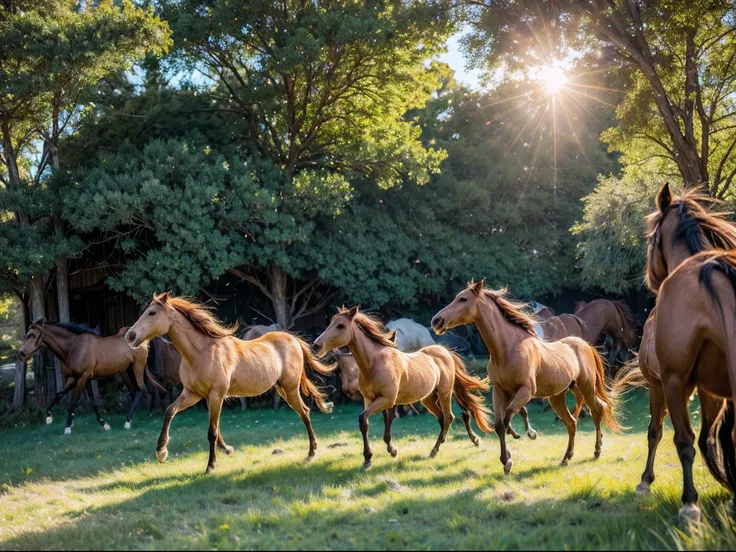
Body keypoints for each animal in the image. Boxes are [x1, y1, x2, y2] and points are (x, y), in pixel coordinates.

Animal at [16, 322, 162, 434]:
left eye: (32, 335)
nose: (20, 354)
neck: (73, 347)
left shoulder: (82, 378)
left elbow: (73, 402)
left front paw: (67, 427)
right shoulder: (76, 378)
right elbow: (68, 396)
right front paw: (104, 424)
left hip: (137, 368)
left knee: (140, 390)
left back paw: (128, 421)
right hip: (125, 371)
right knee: (137, 390)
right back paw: (142, 415)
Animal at [125, 294, 334, 474]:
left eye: (152, 313)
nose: (130, 336)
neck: (201, 353)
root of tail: (293, 340)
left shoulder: (216, 395)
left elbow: (212, 431)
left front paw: (211, 465)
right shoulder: (193, 394)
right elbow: (171, 411)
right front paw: (161, 452)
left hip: (290, 389)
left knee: (305, 412)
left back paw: (311, 453)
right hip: (282, 389)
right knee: (304, 411)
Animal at [312, 304, 492, 468]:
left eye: (340, 326)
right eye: (331, 323)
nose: (316, 345)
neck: (374, 363)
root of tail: (445, 352)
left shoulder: (386, 399)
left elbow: (371, 419)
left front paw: (374, 456)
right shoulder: (370, 399)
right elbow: (368, 423)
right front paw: (380, 454)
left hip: (445, 393)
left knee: (451, 416)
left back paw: (436, 450)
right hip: (428, 399)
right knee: (444, 418)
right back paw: (456, 442)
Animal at [432, 280, 620, 474]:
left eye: (463, 299)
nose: (437, 321)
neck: (508, 349)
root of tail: (585, 345)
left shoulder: (526, 391)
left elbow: (508, 417)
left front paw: (510, 456)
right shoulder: (500, 391)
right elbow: (500, 424)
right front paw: (506, 461)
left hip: (586, 387)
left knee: (597, 410)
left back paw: (597, 451)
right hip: (558, 396)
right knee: (571, 423)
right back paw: (566, 458)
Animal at [640, 183, 736, 524]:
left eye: (650, 238)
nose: (650, 279)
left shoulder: (668, 382)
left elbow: (672, 437)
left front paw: (688, 502)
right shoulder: (713, 391)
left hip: (672, 386)